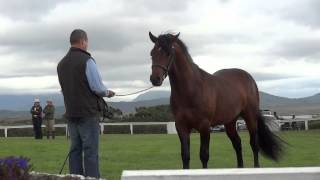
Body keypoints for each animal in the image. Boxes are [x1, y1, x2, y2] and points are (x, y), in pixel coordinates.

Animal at [148, 32, 282, 169]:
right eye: (152, 53)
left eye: (168, 53)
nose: (155, 79)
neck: (192, 89)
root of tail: (249, 78)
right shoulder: (181, 126)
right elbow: (185, 156)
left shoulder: (204, 126)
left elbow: (204, 155)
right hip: (230, 122)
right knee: (237, 144)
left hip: (250, 118)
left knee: (254, 144)